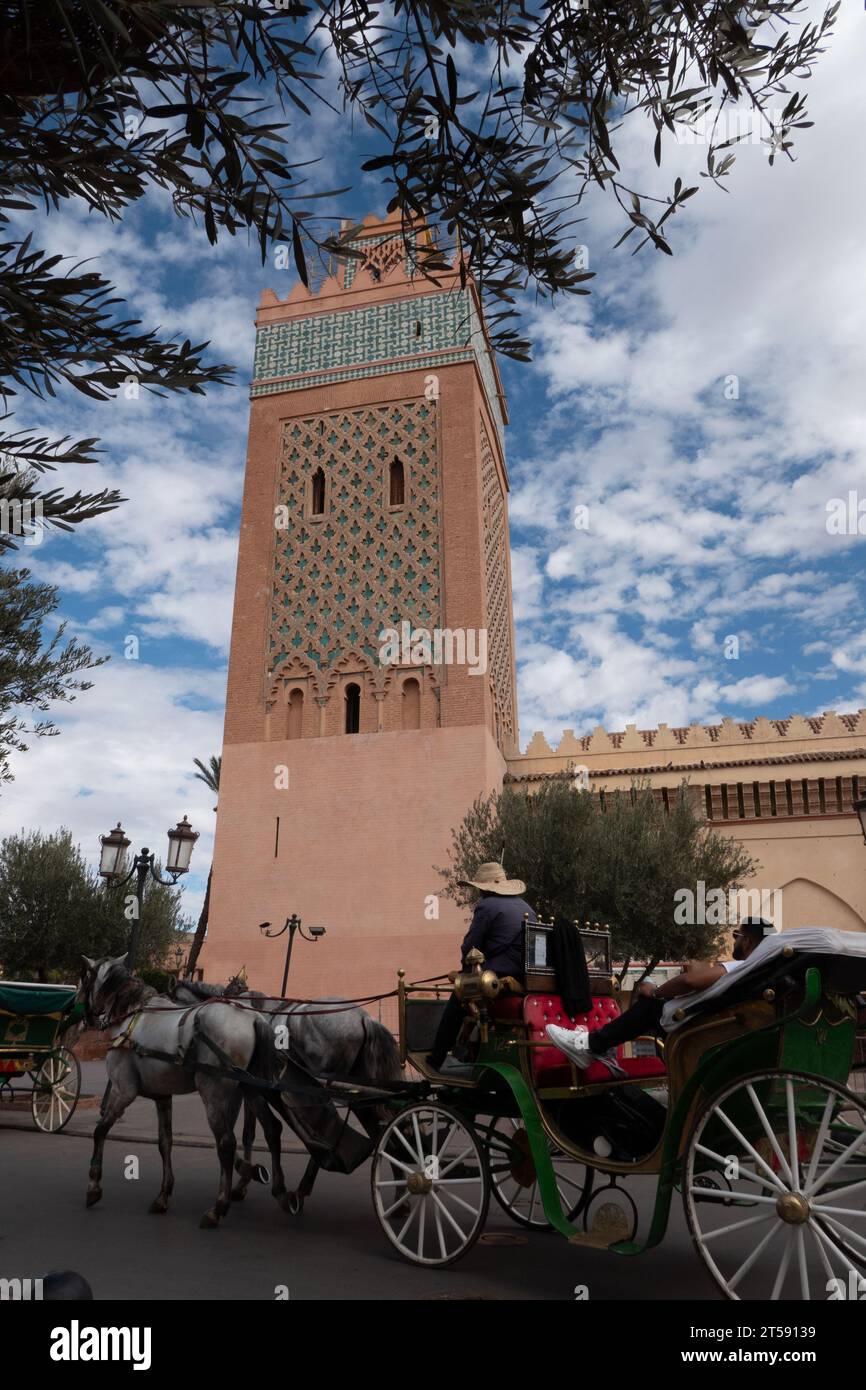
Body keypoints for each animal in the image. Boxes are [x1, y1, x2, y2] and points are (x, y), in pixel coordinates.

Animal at [173, 984, 403, 1212]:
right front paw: (244, 1181)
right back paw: (400, 1195)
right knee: (383, 1129)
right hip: (360, 1089)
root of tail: (364, 1017)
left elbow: (239, 1131)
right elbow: (248, 1133)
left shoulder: (237, 1086)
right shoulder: (250, 1086)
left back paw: (305, 1187)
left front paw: (242, 1180)